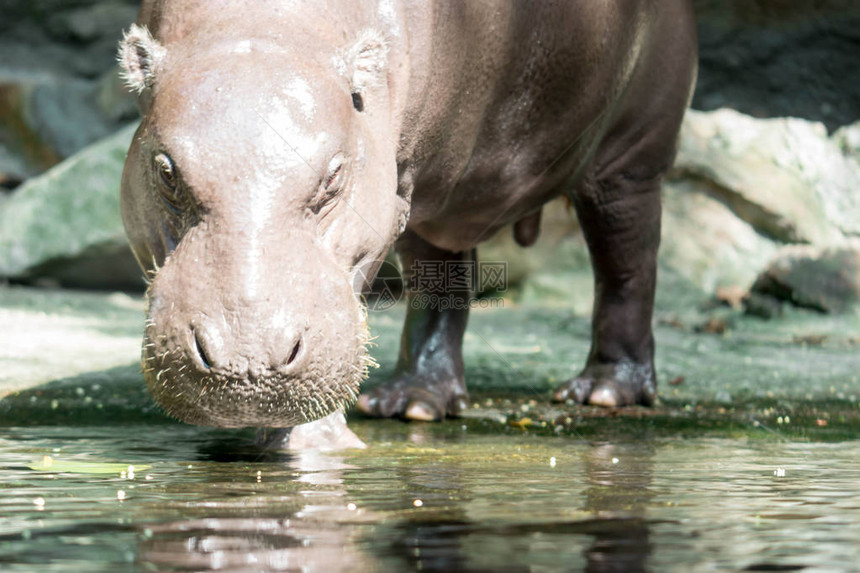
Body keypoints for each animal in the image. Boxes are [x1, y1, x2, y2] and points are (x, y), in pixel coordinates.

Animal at [119, 0, 700, 446]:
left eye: (334, 177)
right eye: (166, 171)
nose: (246, 362)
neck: (264, 30)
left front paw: (313, 445)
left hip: (630, 159)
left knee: (626, 265)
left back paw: (605, 392)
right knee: (442, 281)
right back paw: (410, 403)